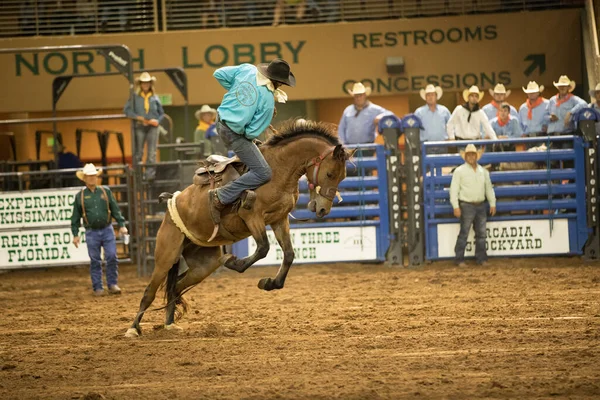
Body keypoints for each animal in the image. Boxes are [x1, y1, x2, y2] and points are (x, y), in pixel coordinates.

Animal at [125, 121, 352, 338]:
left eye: (342, 176)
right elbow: (263, 248)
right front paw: (234, 262)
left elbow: (288, 254)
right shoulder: (251, 216)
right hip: (166, 256)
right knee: (149, 292)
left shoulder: (279, 219)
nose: (323, 209)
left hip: (203, 264)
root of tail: (171, 203)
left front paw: (270, 282)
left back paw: (170, 324)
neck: (279, 168)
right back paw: (133, 329)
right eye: (330, 173)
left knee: (176, 287)